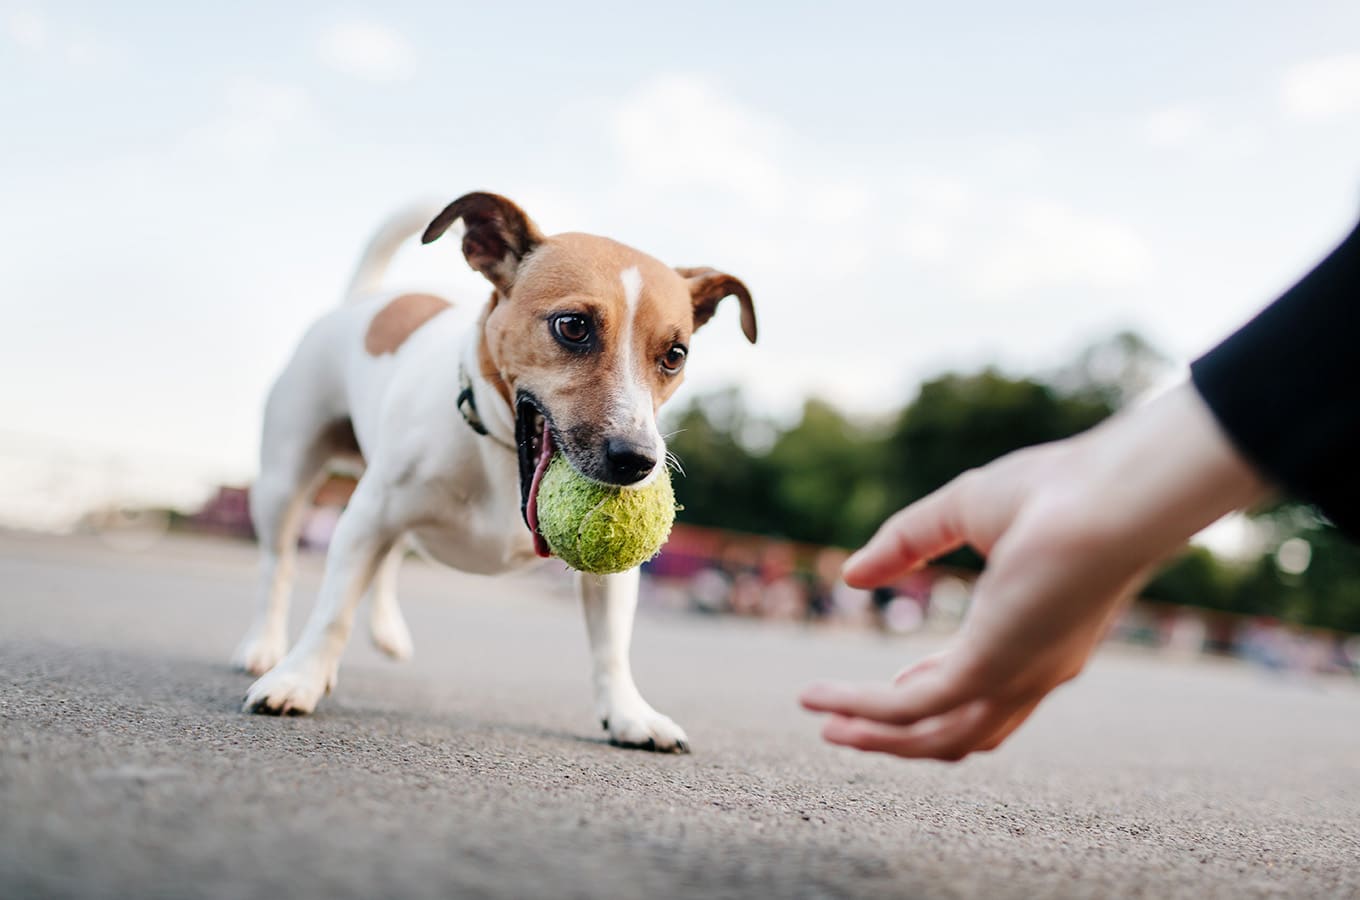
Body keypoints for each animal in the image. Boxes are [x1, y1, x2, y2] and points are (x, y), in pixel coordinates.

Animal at [235, 194, 761, 750]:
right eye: (573, 326)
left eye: (675, 355)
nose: (637, 460)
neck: (502, 455)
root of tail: (366, 299)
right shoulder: (367, 518)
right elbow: (332, 612)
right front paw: (299, 679)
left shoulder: (612, 578)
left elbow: (612, 647)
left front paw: (628, 714)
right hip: (284, 481)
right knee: (278, 566)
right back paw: (265, 646)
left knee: (389, 559)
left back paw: (386, 630)